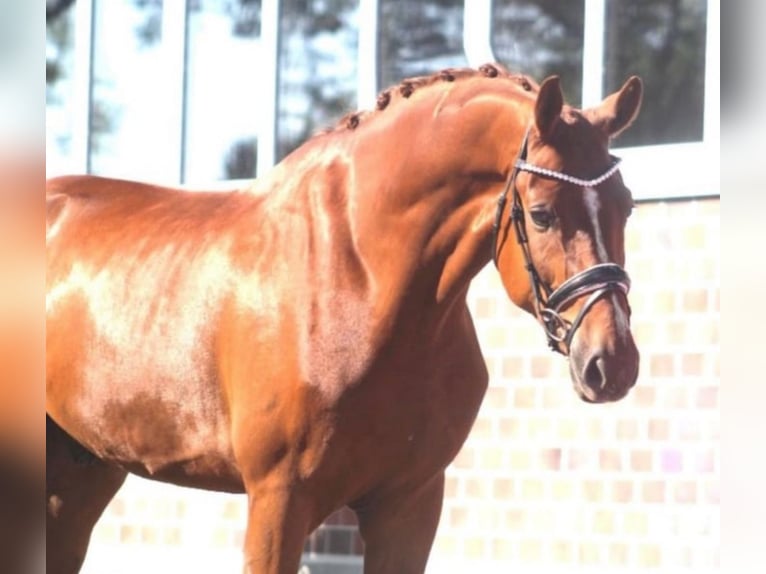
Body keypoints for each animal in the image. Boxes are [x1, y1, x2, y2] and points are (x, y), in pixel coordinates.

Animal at [48, 65, 644, 572]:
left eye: (628, 205)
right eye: (541, 214)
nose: (612, 362)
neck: (360, 277)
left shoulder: (410, 504)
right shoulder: (279, 502)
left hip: (82, 474)